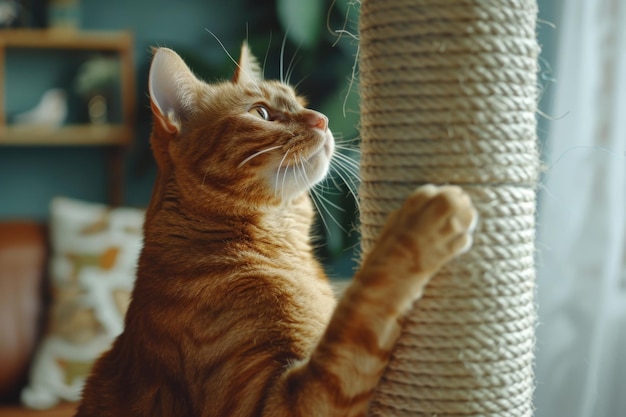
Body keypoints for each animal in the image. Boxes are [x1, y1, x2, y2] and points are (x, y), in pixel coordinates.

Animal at [74, 43, 472, 416]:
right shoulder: (271, 403)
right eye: (262, 113)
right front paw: (422, 224)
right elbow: (366, 301)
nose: (322, 119)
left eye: (299, 102)